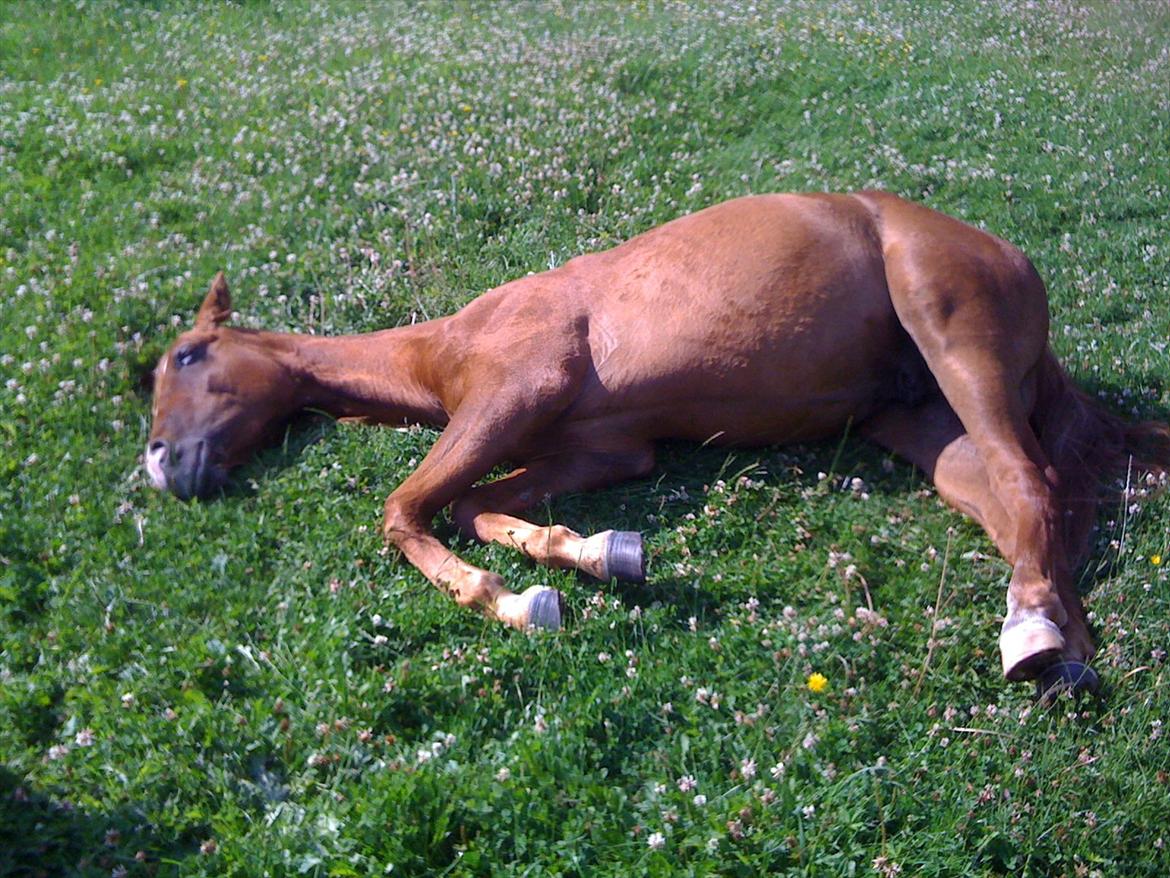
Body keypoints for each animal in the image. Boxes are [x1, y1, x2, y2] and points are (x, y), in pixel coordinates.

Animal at [146, 191, 1170, 693]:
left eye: (189, 355)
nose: (160, 466)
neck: (446, 349)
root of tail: (1006, 256)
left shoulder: (514, 391)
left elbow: (406, 510)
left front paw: (509, 600)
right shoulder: (602, 450)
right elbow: (478, 507)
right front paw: (596, 555)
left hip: (953, 337)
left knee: (1031, 482)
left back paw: (1032, 632)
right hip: (927, 433)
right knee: (1033, 504)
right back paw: (1054, 644)